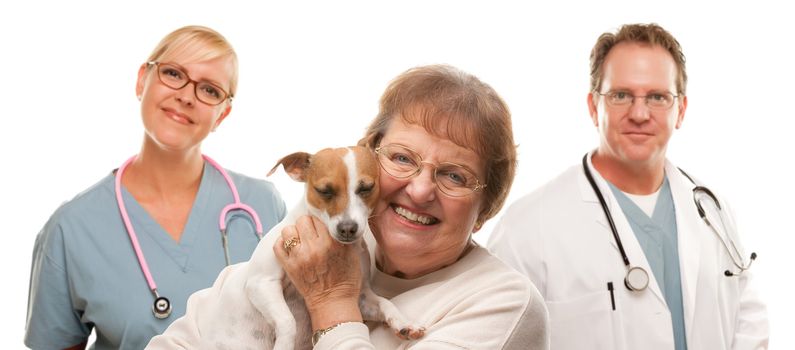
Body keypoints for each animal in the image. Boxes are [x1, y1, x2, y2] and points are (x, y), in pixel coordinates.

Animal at [158, 146, 426, 348]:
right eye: (324, 191)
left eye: (366, 188)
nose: (348, 228)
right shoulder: (262, 284)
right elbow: (288, 321)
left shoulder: (361, 298)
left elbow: (384, 302)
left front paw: (404, 322)